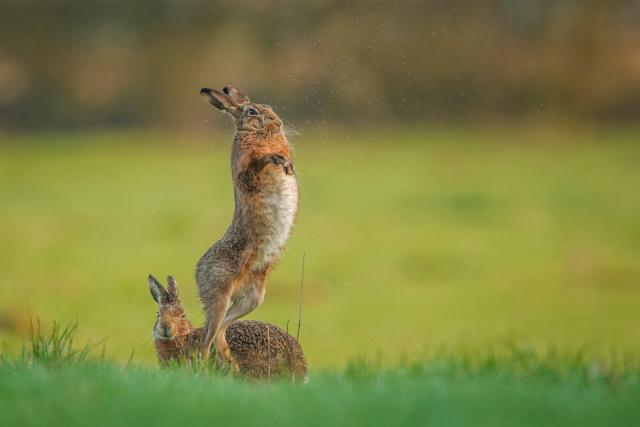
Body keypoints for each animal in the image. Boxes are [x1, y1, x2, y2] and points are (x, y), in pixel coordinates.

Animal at [197, 85, 299, 368]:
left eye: (269, 107)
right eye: (252, 112)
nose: (277, 122)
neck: (257, 134)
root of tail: (198, 270)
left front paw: (288, 166)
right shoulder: (246, 173)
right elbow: (258, 165)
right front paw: (278, 160)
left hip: (252, 298)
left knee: (221, 329)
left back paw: (230, 361)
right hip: (220, 294)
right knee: (206, 338)